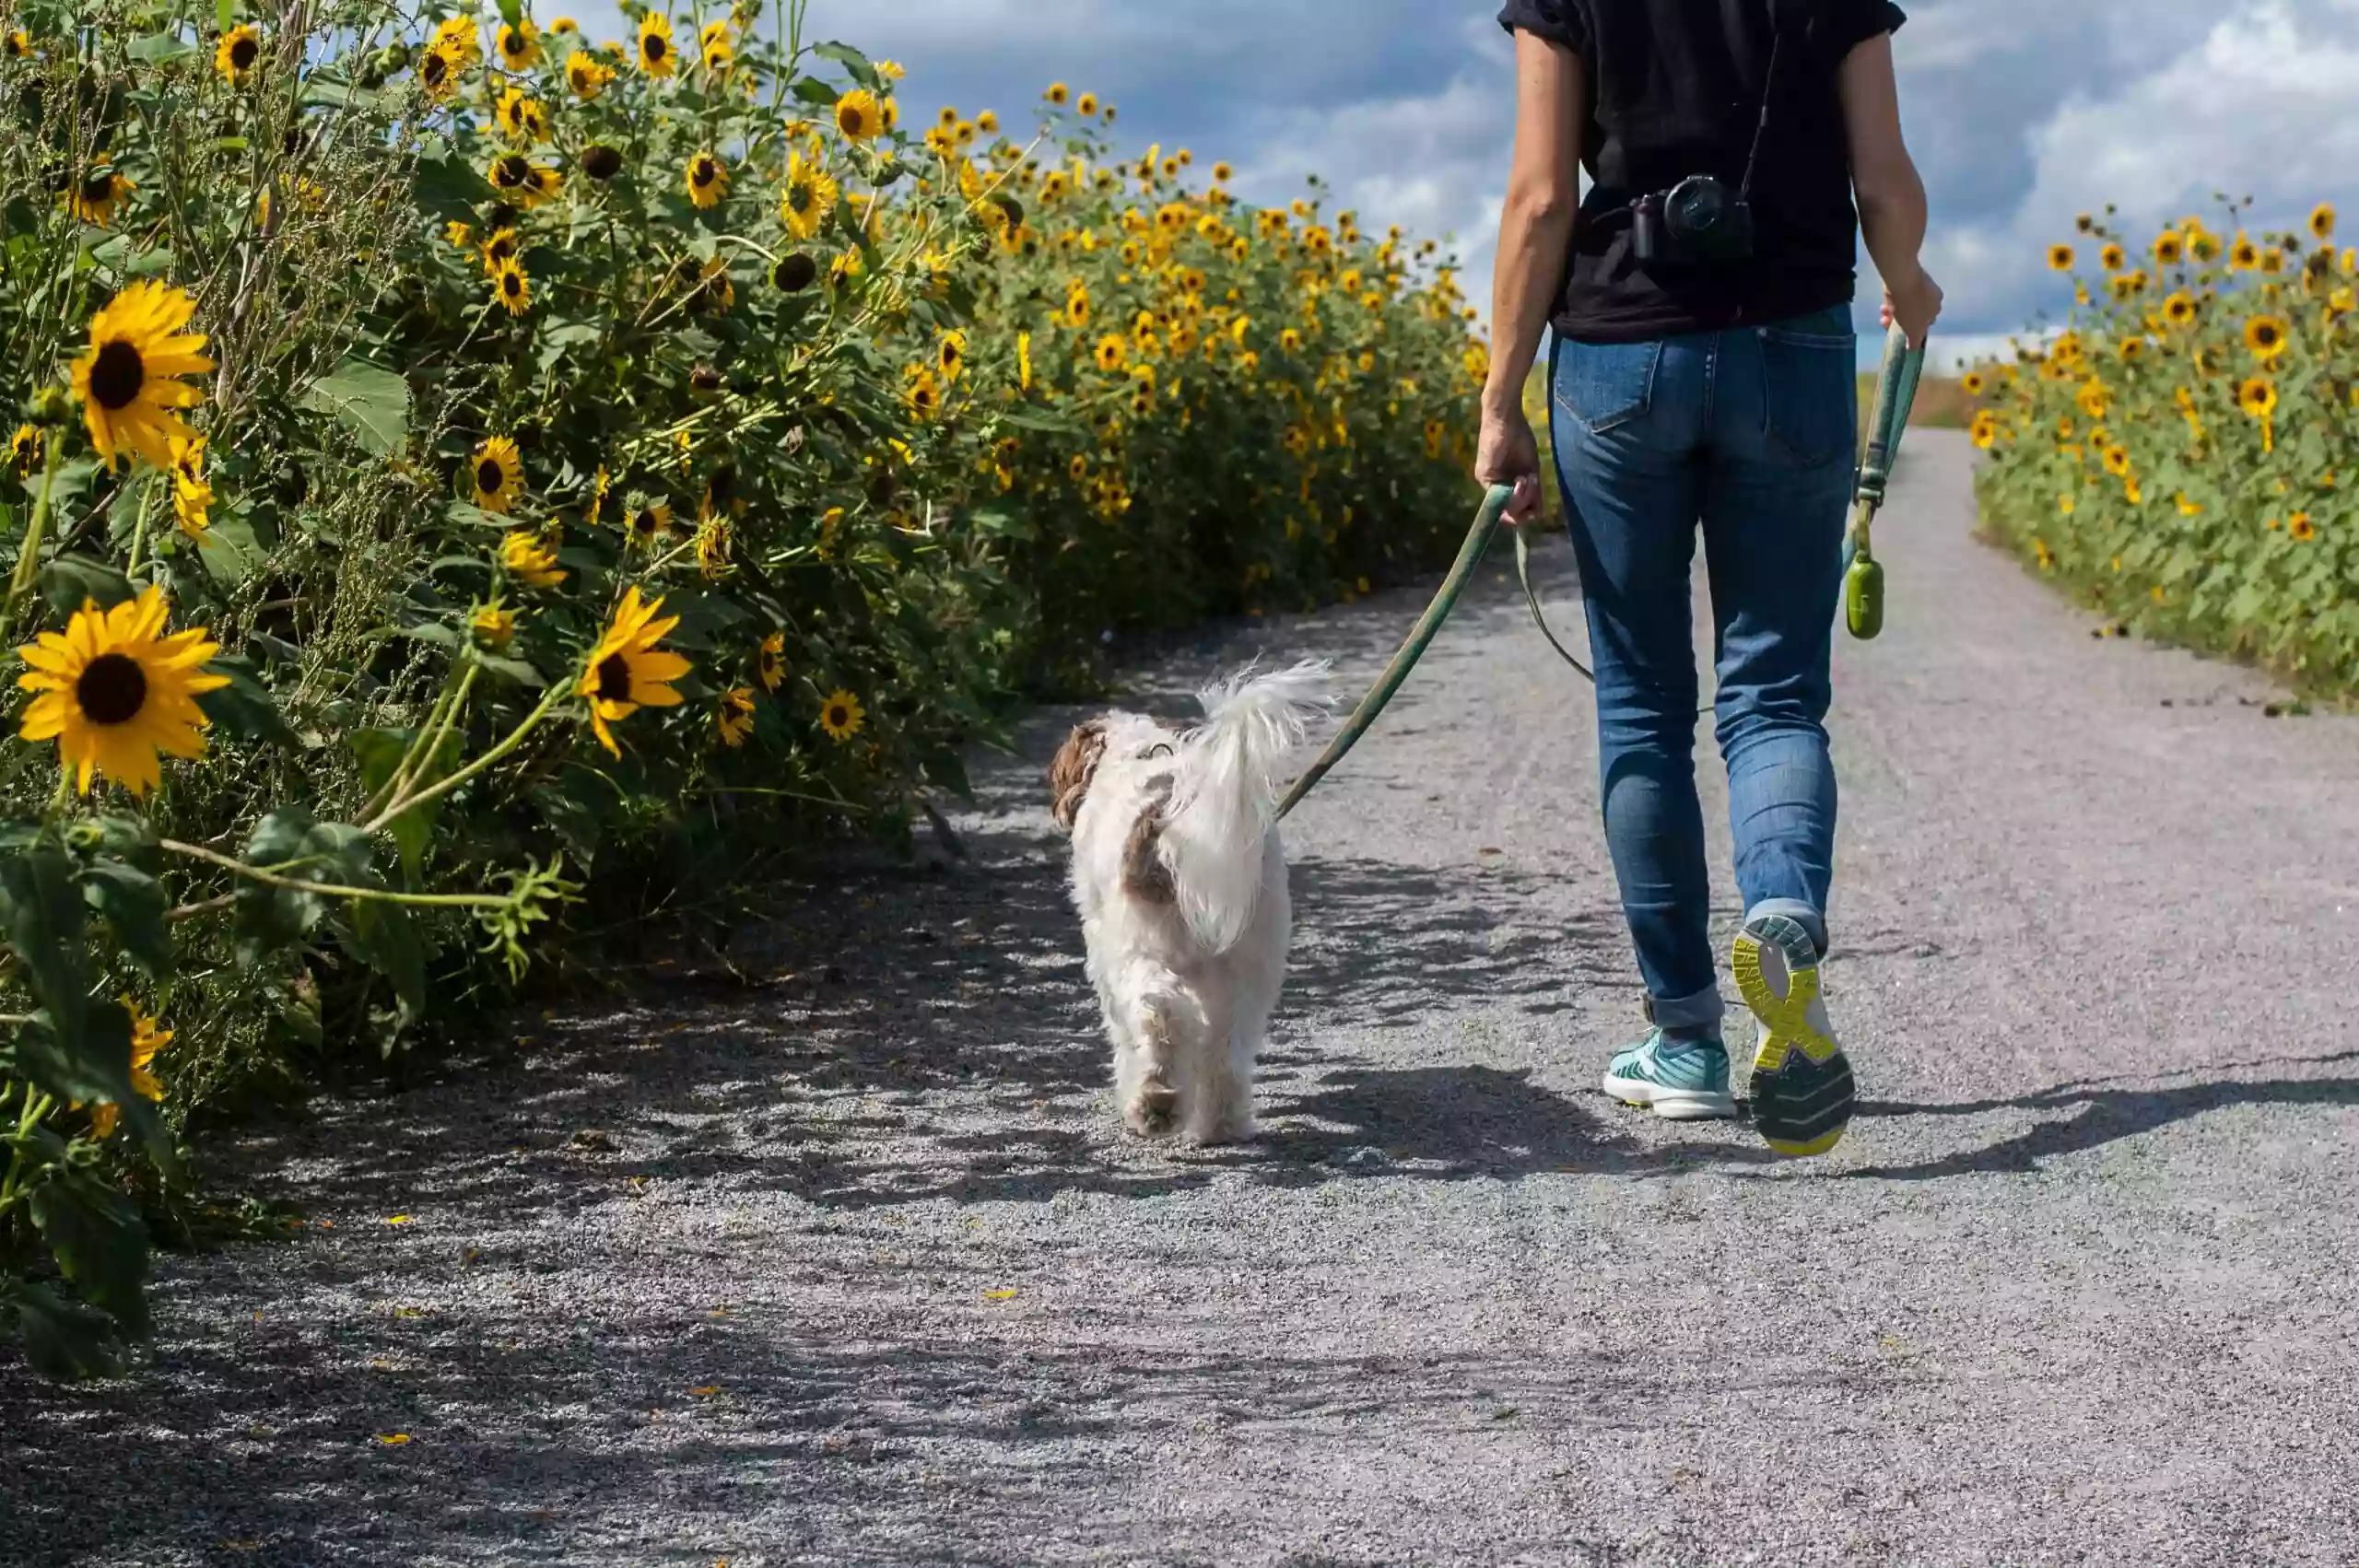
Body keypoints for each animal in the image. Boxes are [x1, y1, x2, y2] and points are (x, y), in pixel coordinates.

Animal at [1047, 655, 1340, 1145]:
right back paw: (1222, 1124)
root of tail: (1169, 817)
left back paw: (1156, 1103)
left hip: (1141, 953)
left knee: (1160, 1015)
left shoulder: (1104, 957)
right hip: (1250, 964)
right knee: (1227, 1051)